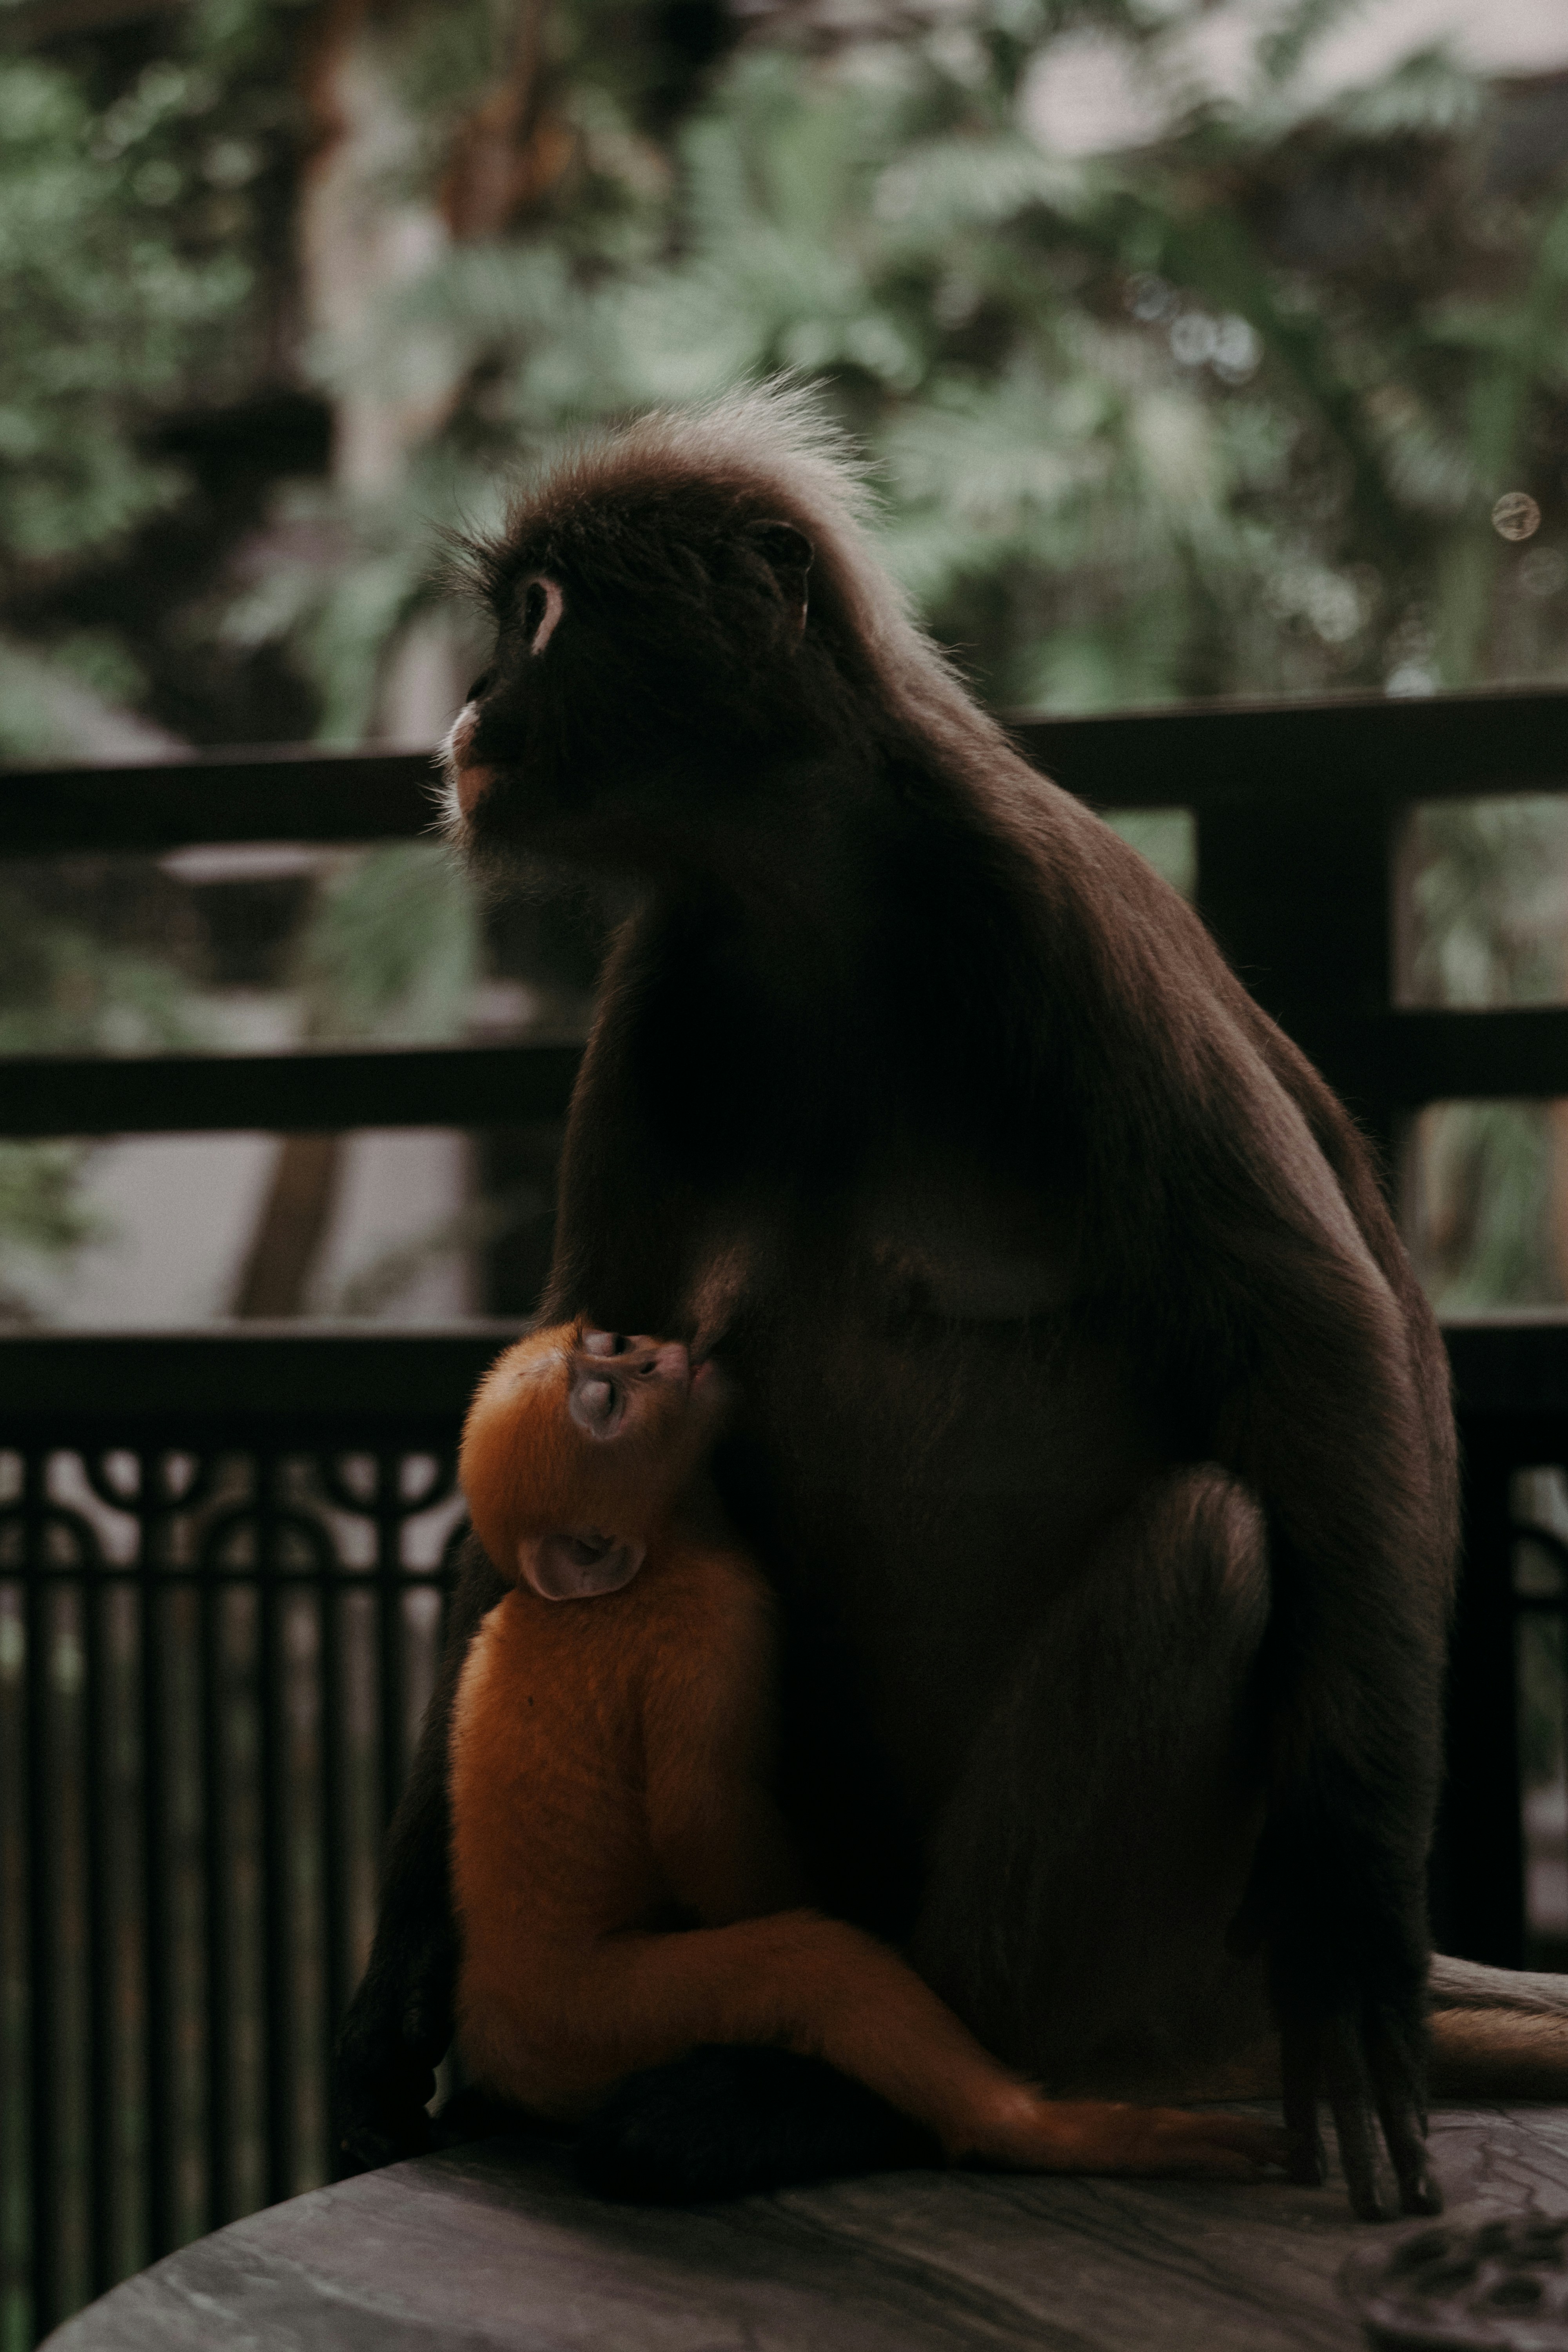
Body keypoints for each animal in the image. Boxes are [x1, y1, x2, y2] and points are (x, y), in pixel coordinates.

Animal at [448, 1315, 1296, 2188]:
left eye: (610, 1348)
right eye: (608, 1403)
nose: (659, 1357)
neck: (641, 1567)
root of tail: (502, 2030)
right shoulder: (713, 1621)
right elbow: (703, 1818)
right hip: (603, 2016)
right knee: (818, 1967)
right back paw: (1047, 2130)